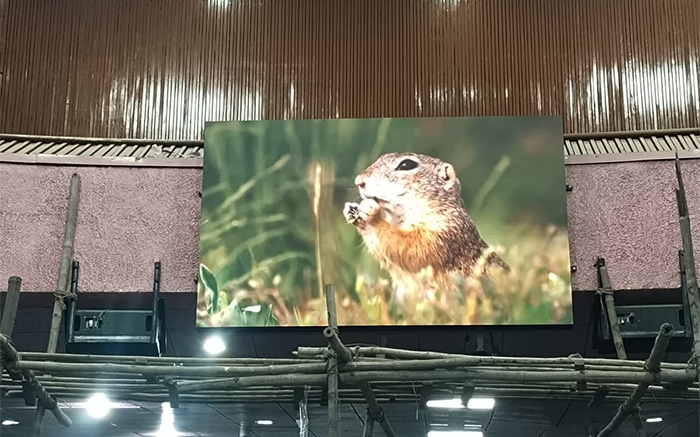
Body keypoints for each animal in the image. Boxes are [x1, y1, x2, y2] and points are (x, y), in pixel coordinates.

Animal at [343, 152, 509, 296]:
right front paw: (352, 211)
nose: (359, 181)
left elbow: (411, 248)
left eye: (406, 165)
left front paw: (373, 214)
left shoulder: (442, 232)